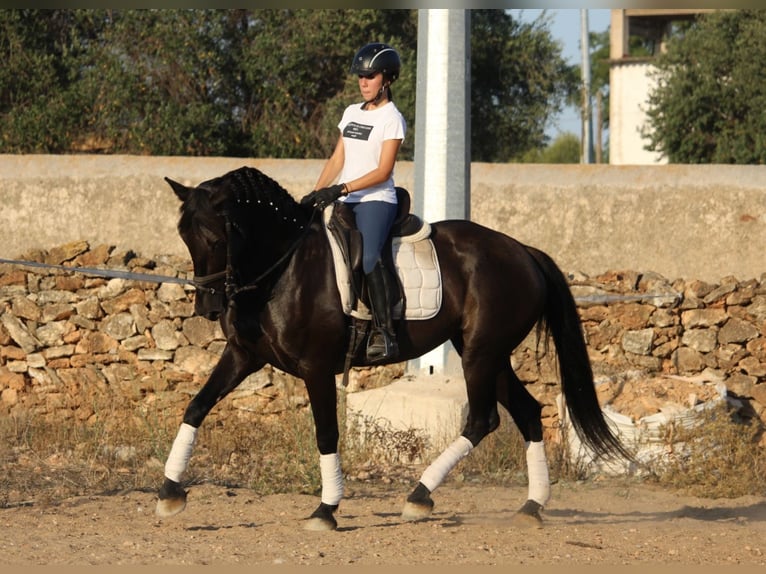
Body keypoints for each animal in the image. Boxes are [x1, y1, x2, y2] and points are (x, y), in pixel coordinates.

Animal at [156, 165, 632, 532]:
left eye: (216, 238)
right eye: (183, 236)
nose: (207, 306)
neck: (283, 266)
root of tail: (523, 251)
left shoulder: (316, 367)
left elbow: (326, 433)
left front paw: (326, 510)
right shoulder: (244, 355)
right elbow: (196, 407)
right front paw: (169, 491)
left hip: (481, 354)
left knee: (483, 419)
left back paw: (419, 496)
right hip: (487, 354)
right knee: (528, 412)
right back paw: (532, 505)